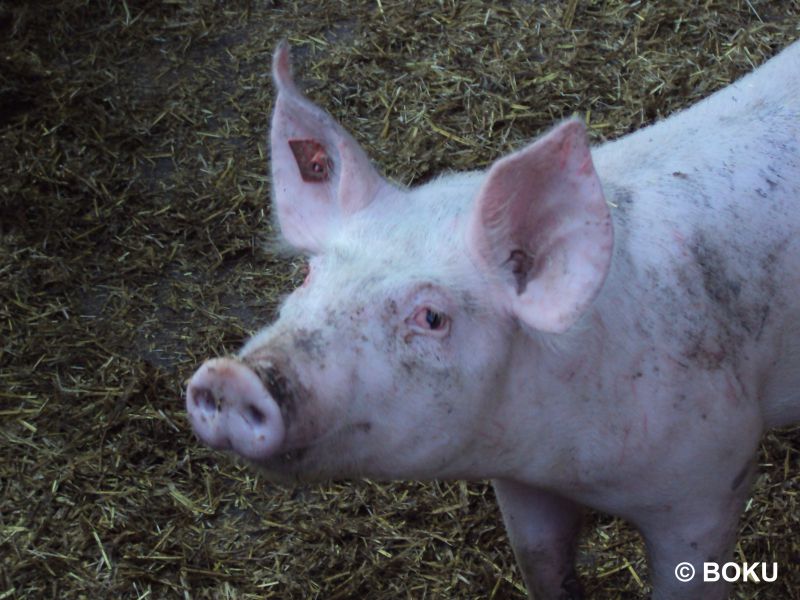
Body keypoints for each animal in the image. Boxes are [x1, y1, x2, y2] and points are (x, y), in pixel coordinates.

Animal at [188, 39, 800, 596]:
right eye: (309, 275)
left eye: (432, 317)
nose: (229, 376)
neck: (562, 459)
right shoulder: (521, 486)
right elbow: (542, 562)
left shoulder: (712, 478)